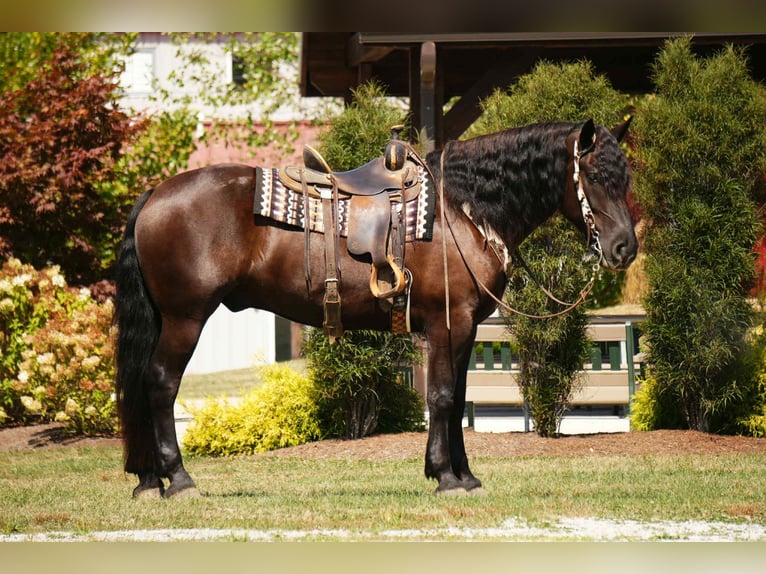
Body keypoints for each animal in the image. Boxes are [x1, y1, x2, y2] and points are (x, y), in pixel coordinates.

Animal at [114, 118, 638, 498]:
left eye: (627, 177)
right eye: (594, 175)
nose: (624, 249)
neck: (460, 209)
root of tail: (156, 194)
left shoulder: (465, 328)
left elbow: (457, 396)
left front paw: (464, 475)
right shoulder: (448, 322)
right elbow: (441, 397)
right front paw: (445, 477)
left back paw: (149, 480)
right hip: (185, 319)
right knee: (160, 384)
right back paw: (179, 480)